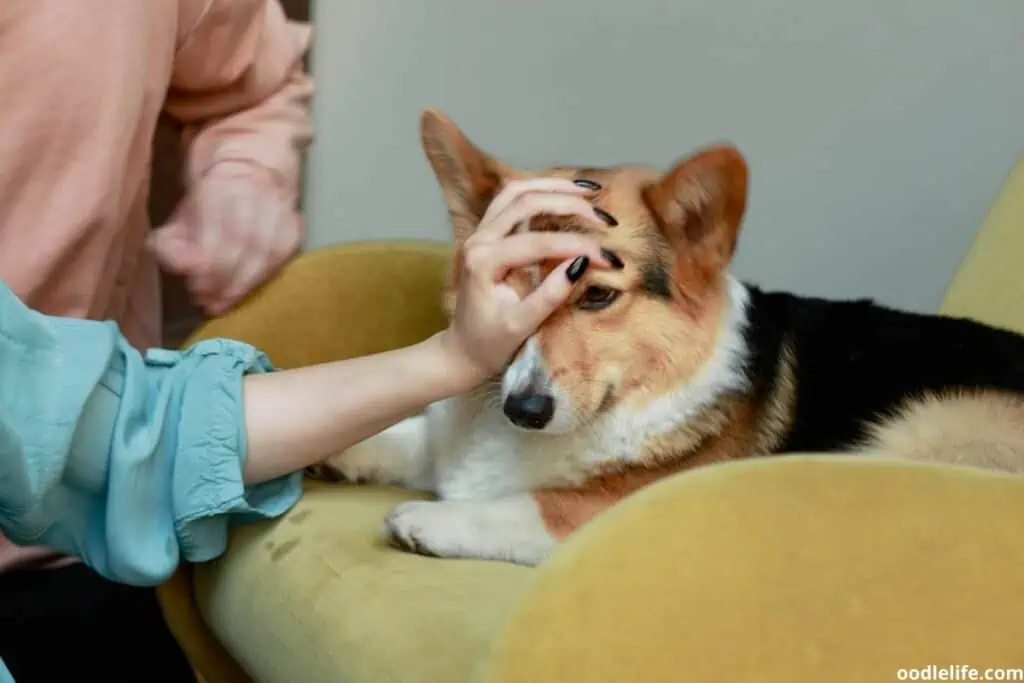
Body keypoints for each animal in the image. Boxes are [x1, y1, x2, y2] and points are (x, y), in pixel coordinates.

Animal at [311, 108, 1024, 565]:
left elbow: (536, 504)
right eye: (510, 288)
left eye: (597, 295)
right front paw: (337, 451)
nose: (524, 409)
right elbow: (403, 436)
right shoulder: (439, 441)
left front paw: (431, 518)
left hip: (925, 427)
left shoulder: (611, 508)